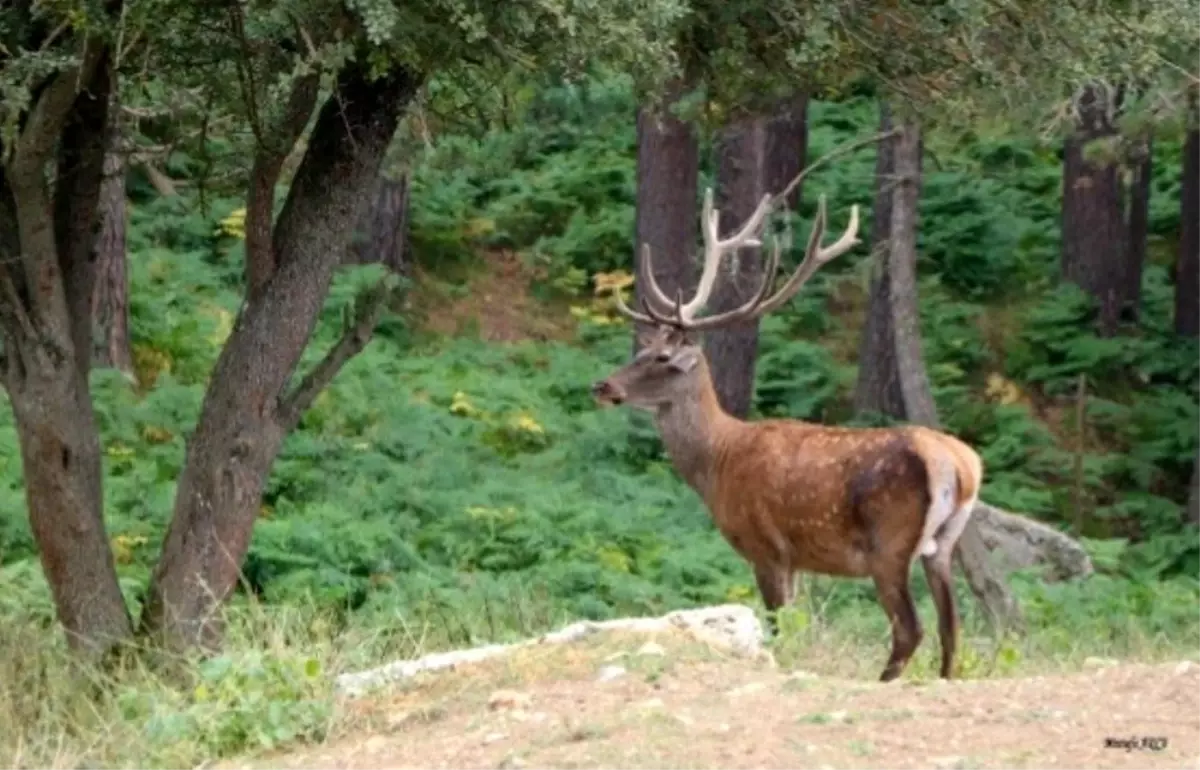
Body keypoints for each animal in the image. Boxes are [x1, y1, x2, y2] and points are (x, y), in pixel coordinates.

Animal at [590, 189, 984, 681]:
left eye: (661, 358)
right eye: (644, 350)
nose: (602, 386)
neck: (717, 461)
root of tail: (961, 465)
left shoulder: (766, 547)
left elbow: (778, 627)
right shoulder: (797, 559)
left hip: (889, 543)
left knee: (911, 629)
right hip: (943, 547)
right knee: (952, 629)